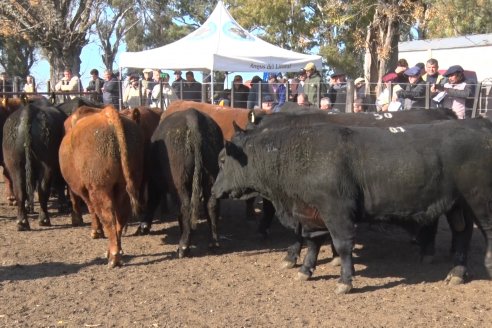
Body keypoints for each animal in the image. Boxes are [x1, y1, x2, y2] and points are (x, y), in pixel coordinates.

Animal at [2, 98, 75, 229]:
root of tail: (28, 112)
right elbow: (60, 183)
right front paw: (63, 205)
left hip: (15, 165)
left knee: (20, 190)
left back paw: (22, 222)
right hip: (46, 165)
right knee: (43, 189)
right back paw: (44, 219)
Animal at [59, 105, 144, 266]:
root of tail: (109, 113)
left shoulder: (85, 190)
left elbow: (92, 210)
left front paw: (96, 232)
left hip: (99, 188)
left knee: (107, 216)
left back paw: (113, 256)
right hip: (124, 186)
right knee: (120, 216)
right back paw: (117, 250)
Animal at [145, 109, 224, 258]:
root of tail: (193, 117)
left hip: (180, 182)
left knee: (186, 207)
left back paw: (183, 246)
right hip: (211, 178)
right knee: (211, 205)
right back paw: (214, 243)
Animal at [213, 118, 492, 294]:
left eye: (222, 160)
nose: (214, 190)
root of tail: (478, 125)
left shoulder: (337, 211)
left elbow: (343, 245)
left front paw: (345, 281)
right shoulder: (311, 213)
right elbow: (313, 243)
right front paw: (305, 270)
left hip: (480, 201)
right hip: (458, 205)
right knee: (462, 234)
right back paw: (457, 272)